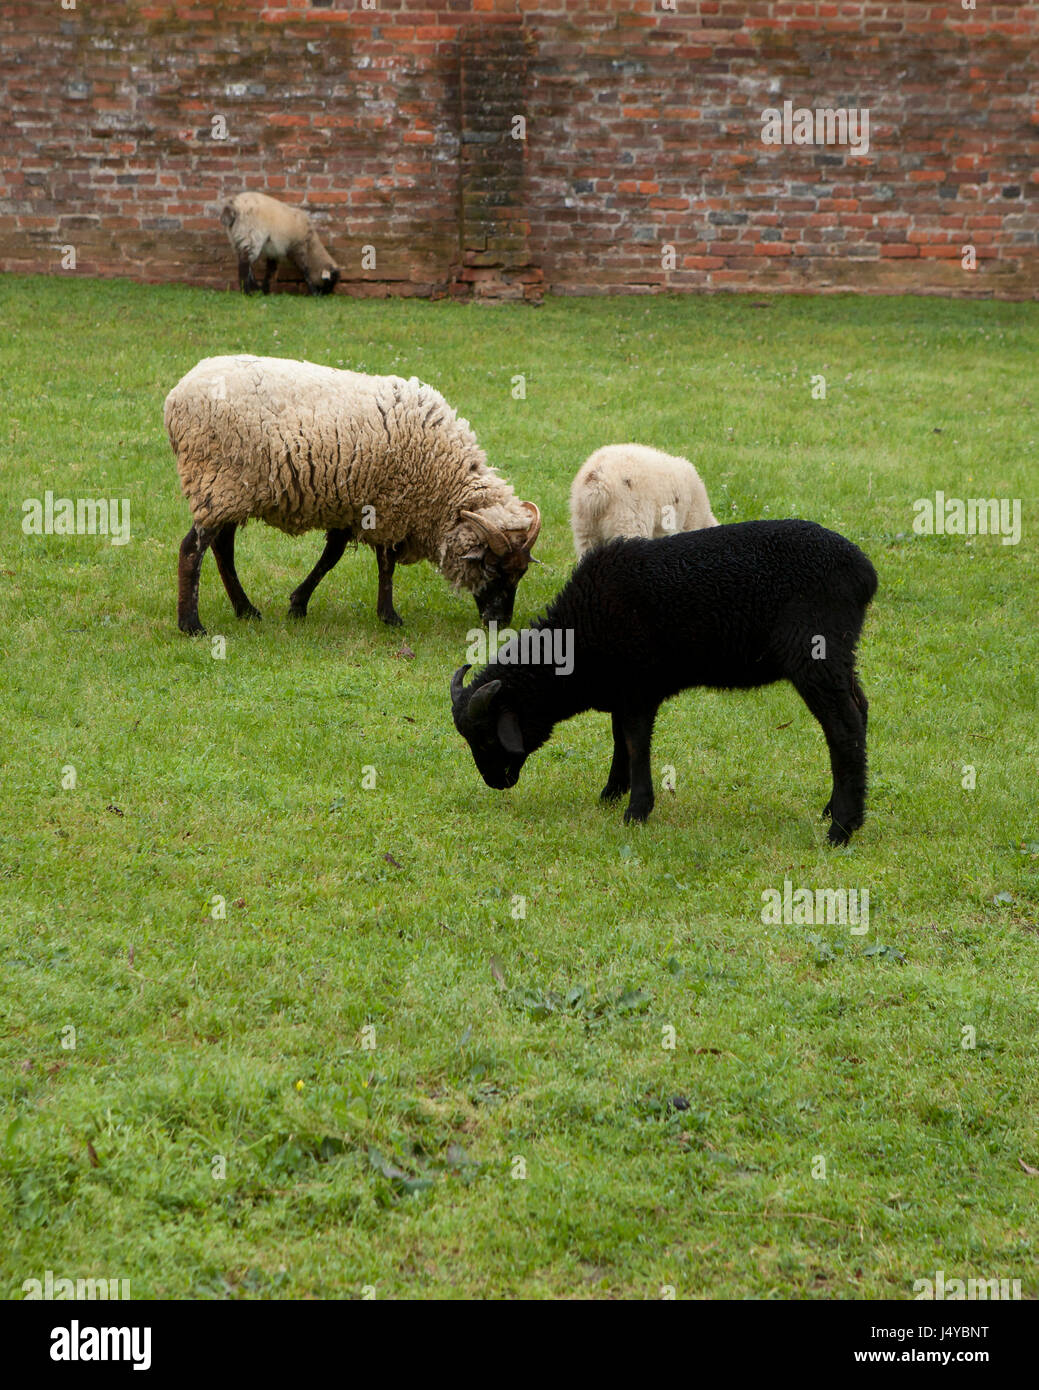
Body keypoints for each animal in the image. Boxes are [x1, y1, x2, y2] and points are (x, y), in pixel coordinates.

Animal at [162, 358, 545, 639]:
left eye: (521, 573)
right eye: (491, 567)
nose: (501, 622)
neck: (443, 477)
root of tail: (176, 397)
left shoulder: (353, 504)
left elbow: (331, 556)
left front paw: (298, 604)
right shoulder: (390, 504)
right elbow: (385, 563)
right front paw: (389, 616)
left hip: (231, 489)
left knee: (222, 547)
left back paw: (245, 610)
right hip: (217, 481)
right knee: (192, 549)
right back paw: (191, 625)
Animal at [453, 522, 879, 845]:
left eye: (488, 737)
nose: (494, 783)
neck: (579, 638)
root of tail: (864, 572)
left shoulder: (640, 689)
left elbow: (636, 744)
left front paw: (636, 810)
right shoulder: (623, 690)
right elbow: (619, 740)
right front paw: (611, 794)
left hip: (815, 654)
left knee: (843, 729)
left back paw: (842, 828)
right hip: (838, 655)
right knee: (860, 710)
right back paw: (834, 808)